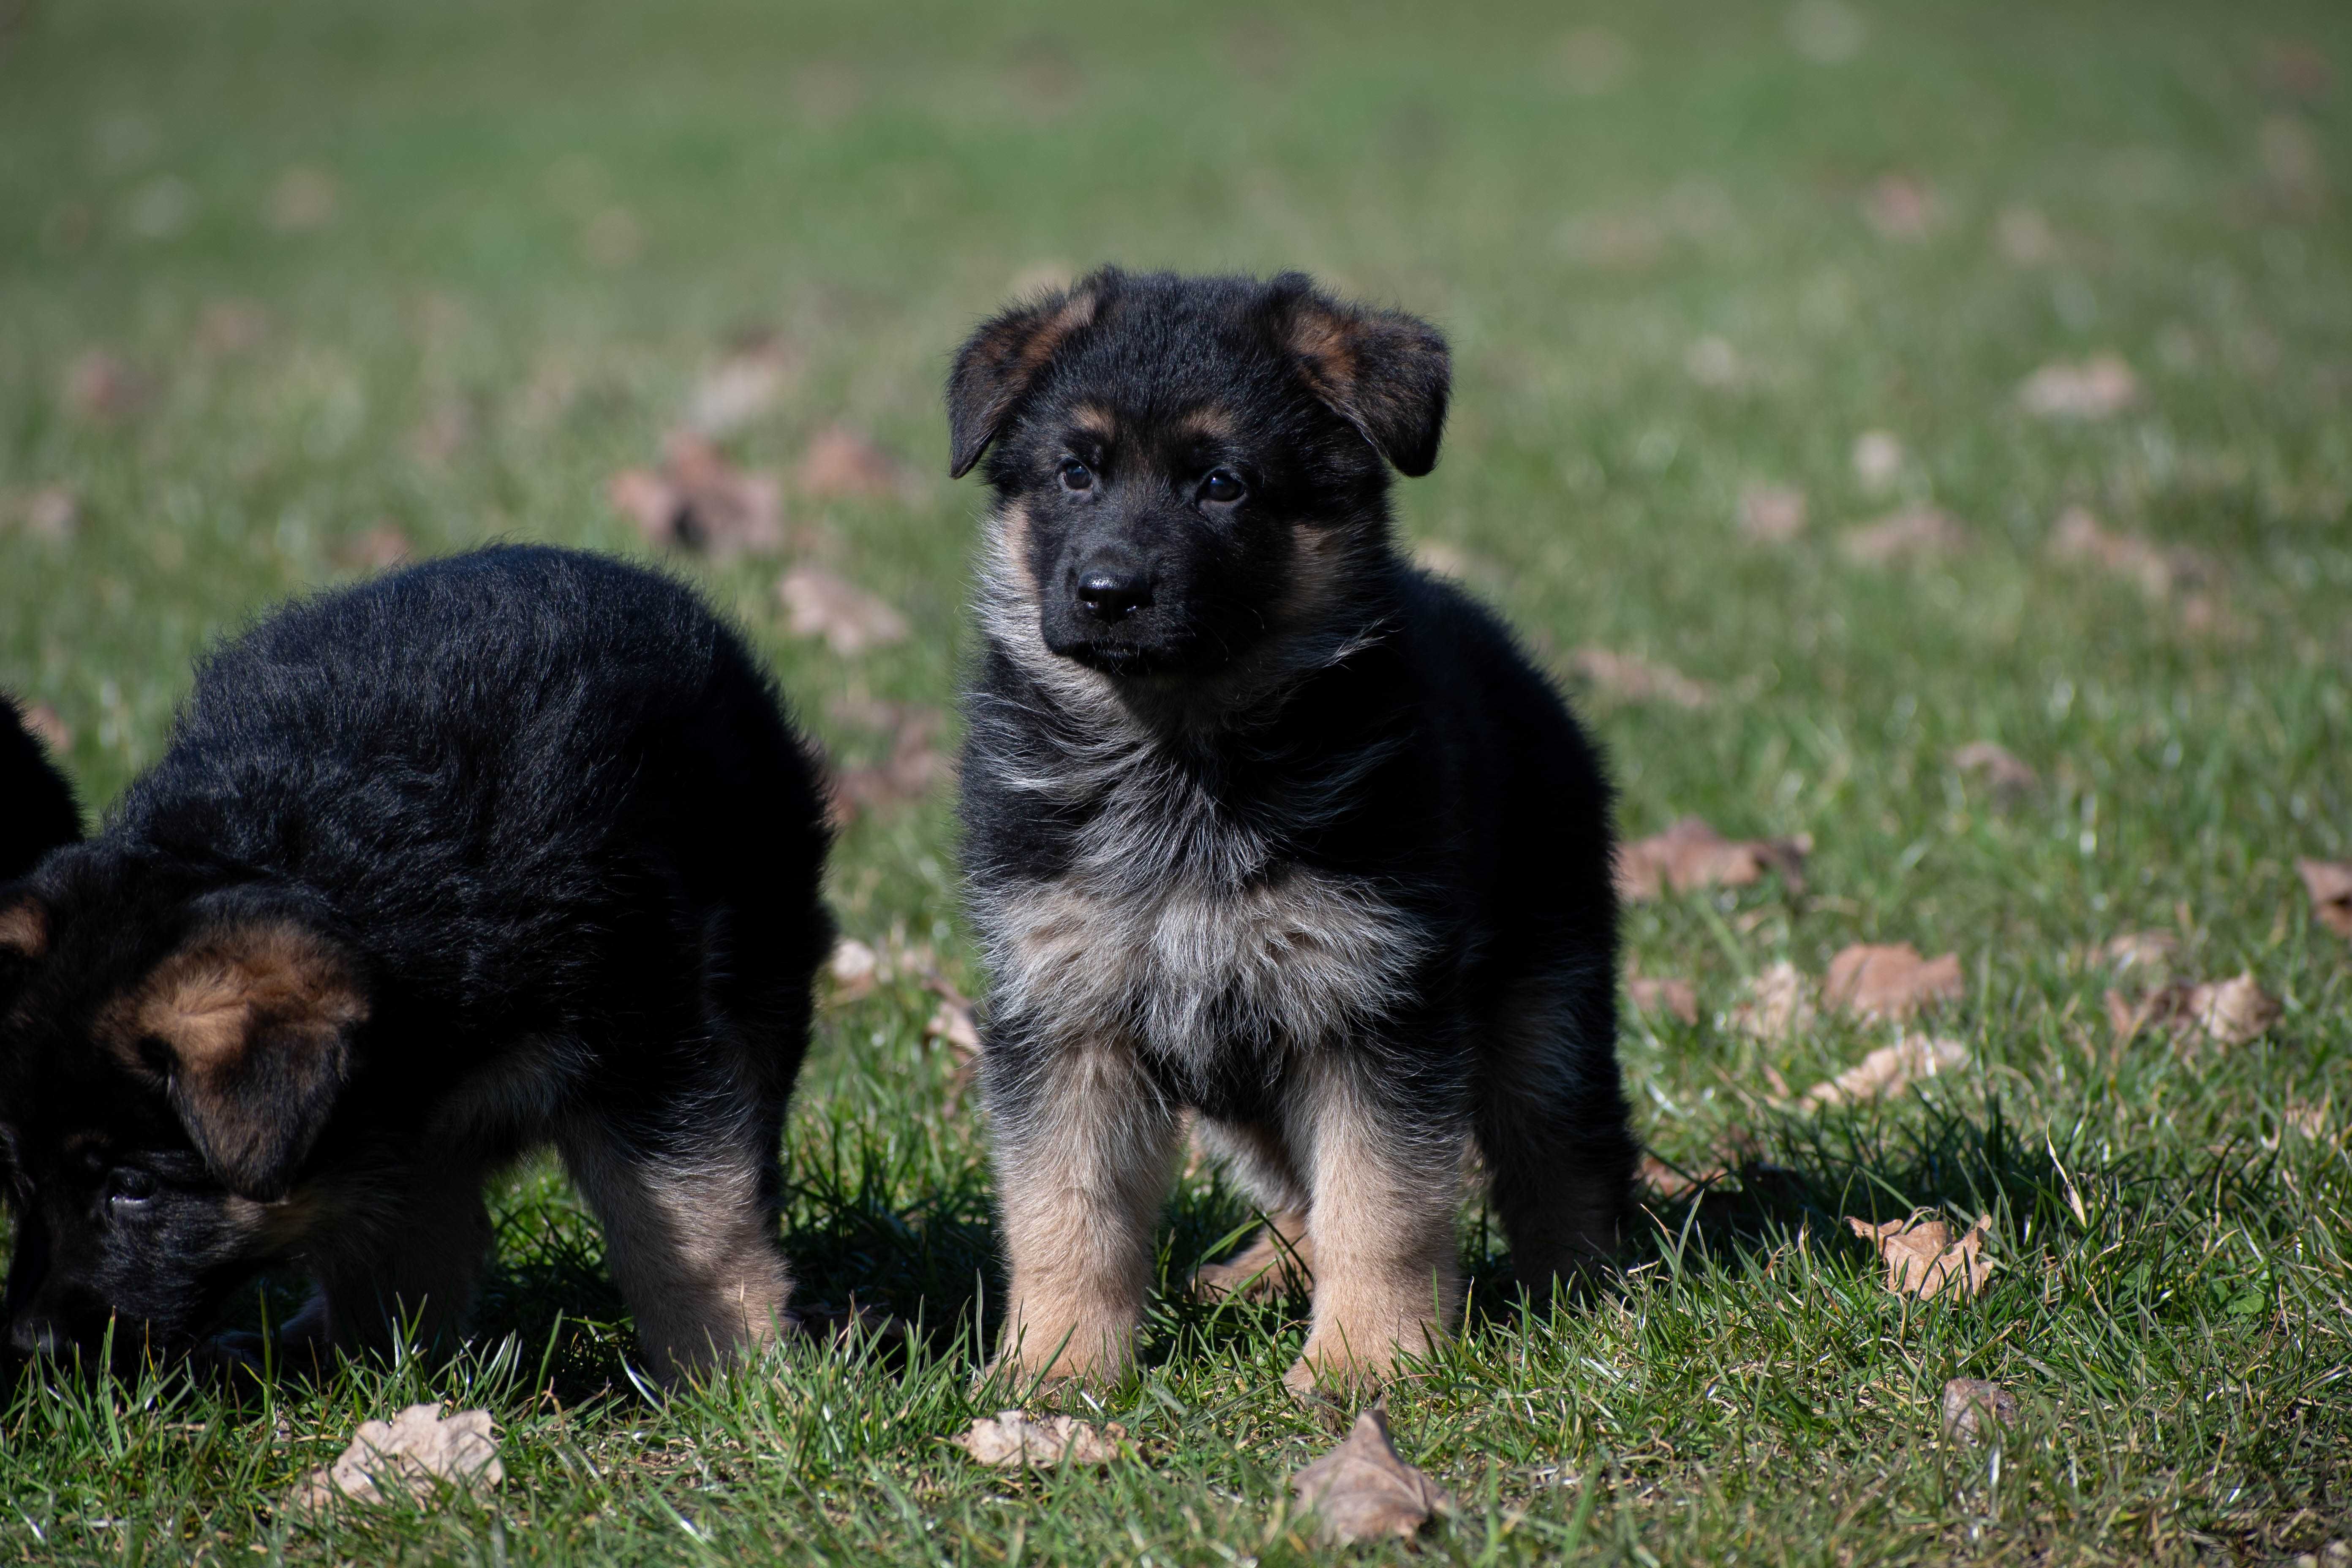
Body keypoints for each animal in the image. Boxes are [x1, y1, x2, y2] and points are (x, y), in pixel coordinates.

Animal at [0, 545, 837, 1382]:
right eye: (21, 1175)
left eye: (133, 1187)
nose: (37, 1347)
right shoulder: (401, 1130)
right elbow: (392, 1252)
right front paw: (372, 1369)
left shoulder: (641, 1042)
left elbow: (681, 1218)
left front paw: (729, 1370)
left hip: (762, 951)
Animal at [950, 270, 1637, 1401]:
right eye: (1075, 473)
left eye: (1222, 484)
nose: (1107, 592)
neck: (1184, 754)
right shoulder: (1065, 1014)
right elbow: (1065, 1212)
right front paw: (1053, 1371)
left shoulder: (1372, 1008)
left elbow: (1382, 1201)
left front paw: (1367, 1360)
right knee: (1298, 1191)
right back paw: (1253, 1277)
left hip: (1545, 996)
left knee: (1564, 1146)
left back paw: (1592, 1294)